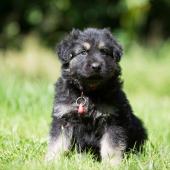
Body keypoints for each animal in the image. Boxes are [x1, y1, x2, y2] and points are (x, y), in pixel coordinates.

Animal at [45, 28, 147, 166]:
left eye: (104, 51)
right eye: (83, 52)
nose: (96, 66)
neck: (89, 92)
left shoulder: (113, 121)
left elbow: (111, 146)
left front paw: (111, 164)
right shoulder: (63, 117)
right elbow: (57, 142)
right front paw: (51, 161)